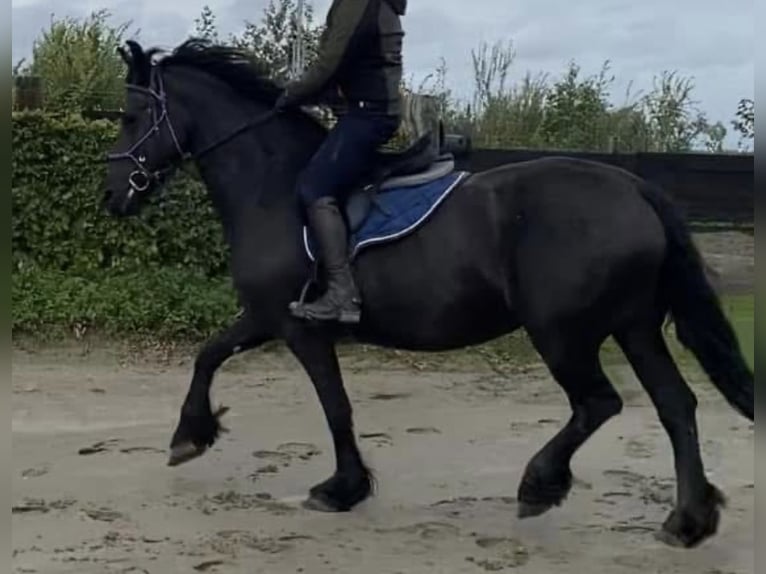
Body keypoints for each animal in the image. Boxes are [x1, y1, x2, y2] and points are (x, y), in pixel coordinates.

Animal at [101, 38, 753, 549]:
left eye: (132, 116)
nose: (112, 195)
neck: (275, 188)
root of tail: (634, 186)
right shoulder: (266, 316)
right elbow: (208, 353)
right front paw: (189, 437)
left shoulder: (298, 327)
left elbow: (334, 405)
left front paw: (341, 489)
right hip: (633, 325)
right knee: (675, 406)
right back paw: (687, 520)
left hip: (562, 333)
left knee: (599, 403)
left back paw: (540, 485)